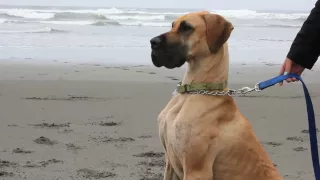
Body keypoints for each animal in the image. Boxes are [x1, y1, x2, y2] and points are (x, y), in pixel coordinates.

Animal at [149, 11, 282, 180]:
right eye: (173, 25)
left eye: (186, 27)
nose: (152, 42)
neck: (191, 92)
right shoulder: (170, 164)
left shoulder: (196, 171)